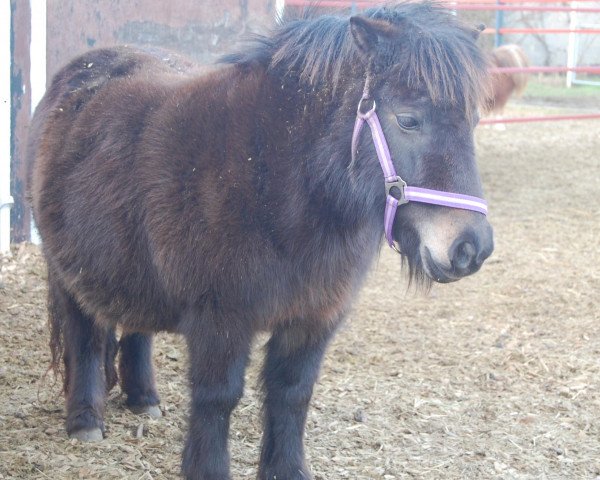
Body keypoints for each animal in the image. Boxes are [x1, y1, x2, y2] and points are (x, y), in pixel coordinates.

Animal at [28, 1, 494, 478]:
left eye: (474, 121)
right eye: (408, 120)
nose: (471, 247)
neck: (268, 176)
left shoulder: (313, 318)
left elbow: (292, 393)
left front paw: (285, 470)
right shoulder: (220, 319)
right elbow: (217, 398)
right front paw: (207, 470)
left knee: (137, 328)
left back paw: (144, 400)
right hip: (66, 271)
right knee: (84, 336)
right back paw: (85, 420)